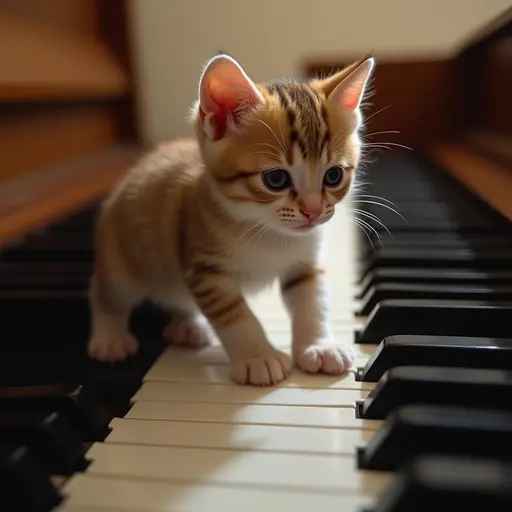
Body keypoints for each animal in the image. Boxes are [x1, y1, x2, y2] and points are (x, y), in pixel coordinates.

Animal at [88, 54, 374, 386]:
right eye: (276, 179)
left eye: (334, 176)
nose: (313, 211)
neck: (267, 231)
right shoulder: (205, 269)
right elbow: (236, 315)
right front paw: (258, 357)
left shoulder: (305, 264)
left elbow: (313, 302)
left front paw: (320, 346)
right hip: (122, 259)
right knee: (106, 292)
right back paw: (110, 338)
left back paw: (189, 325)